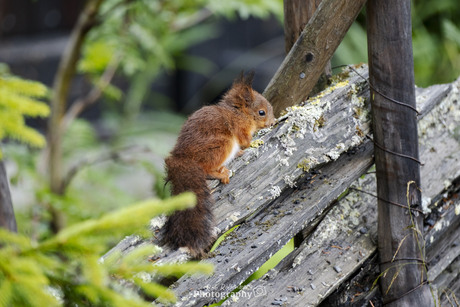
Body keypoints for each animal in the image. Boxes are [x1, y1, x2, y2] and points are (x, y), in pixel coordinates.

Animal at [164, 71, 274, 258]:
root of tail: (182, 158)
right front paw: (250, 143)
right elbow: (245, 140)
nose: (273, 122)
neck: (239, 113)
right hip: (221, 145)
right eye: (261, 112)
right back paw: (220, 172)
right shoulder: (240, 129)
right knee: (206, 169)